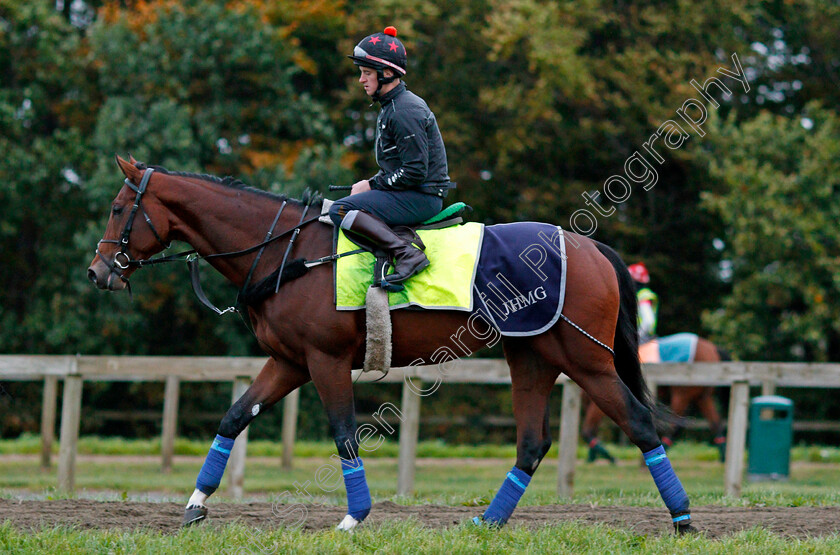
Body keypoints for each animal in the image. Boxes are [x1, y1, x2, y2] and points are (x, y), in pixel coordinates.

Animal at [87, 156, 696, 536]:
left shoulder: (325, 361)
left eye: (117, 209)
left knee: (640, 425)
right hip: (532, 358)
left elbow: (343, 434)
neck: (289, 252)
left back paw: (684, 520)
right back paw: (487, 523)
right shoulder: (288, 361)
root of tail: (588, 246)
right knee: (531, 444)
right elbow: (235, 416)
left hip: (586, 361)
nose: (98, 272)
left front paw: (354, 517)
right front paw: (195, 505)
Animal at [584, 334, 728, 464]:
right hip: (702, 397)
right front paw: (594, 457)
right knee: (714, 423)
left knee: (675, 426)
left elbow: (588, 430)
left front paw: (607, 457)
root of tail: (711, 348)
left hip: (682, 394)